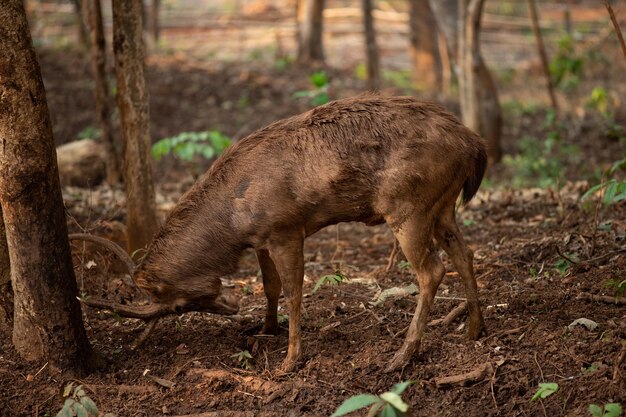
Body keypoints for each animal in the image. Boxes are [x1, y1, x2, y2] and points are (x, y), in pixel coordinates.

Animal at [75, 96, 488, 372]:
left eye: (175, 306)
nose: (231, 307)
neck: (232, 224)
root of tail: (475, 144)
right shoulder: (261, 238)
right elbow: (270, 285)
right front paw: (265, 328)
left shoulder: (286, 228)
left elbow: (293, 291)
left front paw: (291, 360)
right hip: (443, 204)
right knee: (465, 254)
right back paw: (473, 330)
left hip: (406, 205)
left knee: (432, 270)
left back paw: (401, 357)